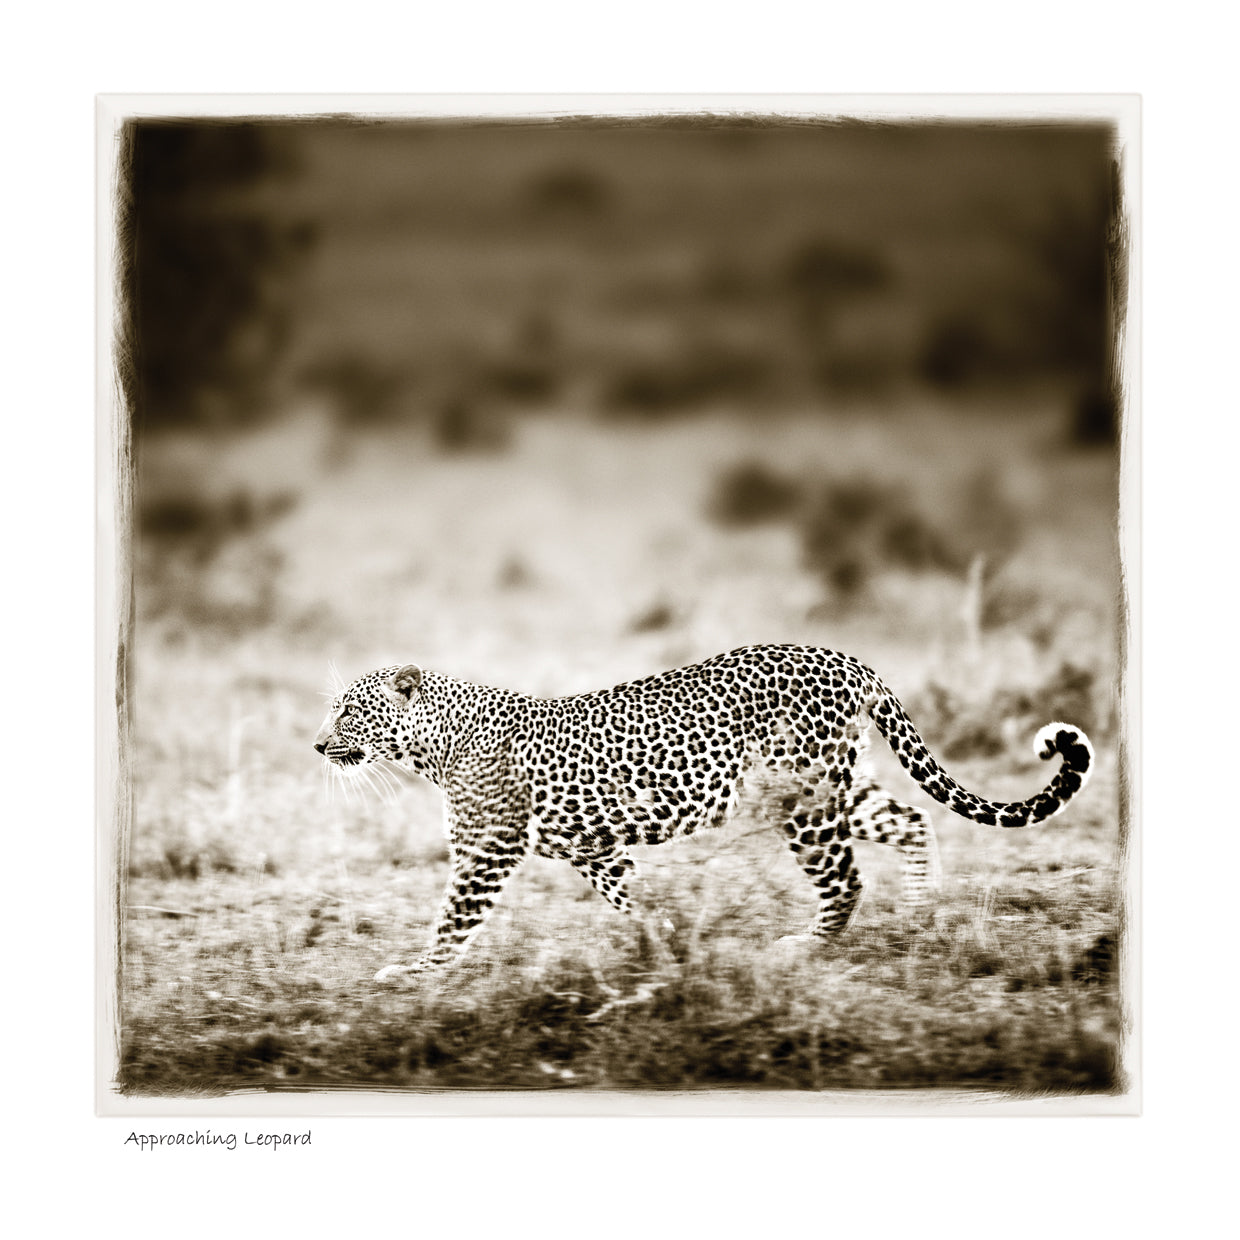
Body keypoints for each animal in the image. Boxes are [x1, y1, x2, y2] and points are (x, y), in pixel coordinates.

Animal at [313, 644, 1093, 981]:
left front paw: (415, 972)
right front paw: (665, 938)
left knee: (846, 880)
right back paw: (920, 913)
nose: (319, 744)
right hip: (837, 787)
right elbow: (632, 899)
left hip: (803, 800)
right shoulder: (595, 849)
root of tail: (847, 657)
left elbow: (453, 920)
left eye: (350, 709)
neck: (433, 745)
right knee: (909, 819)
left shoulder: (490, 848)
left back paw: (803, 947)